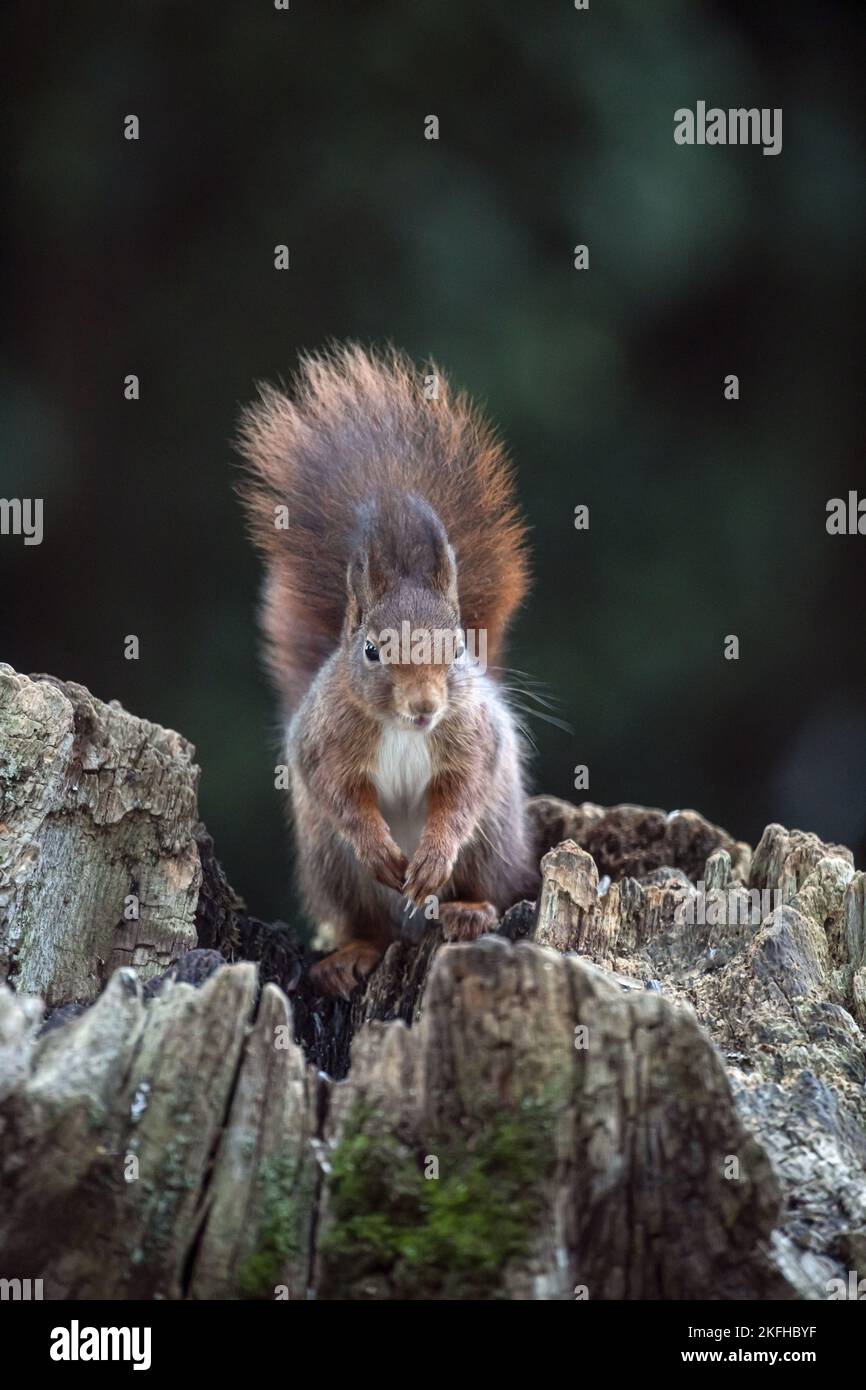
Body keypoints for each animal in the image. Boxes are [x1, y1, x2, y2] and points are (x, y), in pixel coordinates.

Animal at [238, 344, 538, 998]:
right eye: (373, 651)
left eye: (458, 649)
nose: (424, 707)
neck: (403, 730)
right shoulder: (323, 744)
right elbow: (340, 792)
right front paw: (381, 849)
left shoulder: (473, 741)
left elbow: (461, 793)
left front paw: (431, 857)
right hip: (333, 866)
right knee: (369, 924)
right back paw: (354, 953)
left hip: (495, 840)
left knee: (485, 881)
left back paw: (466, 909)